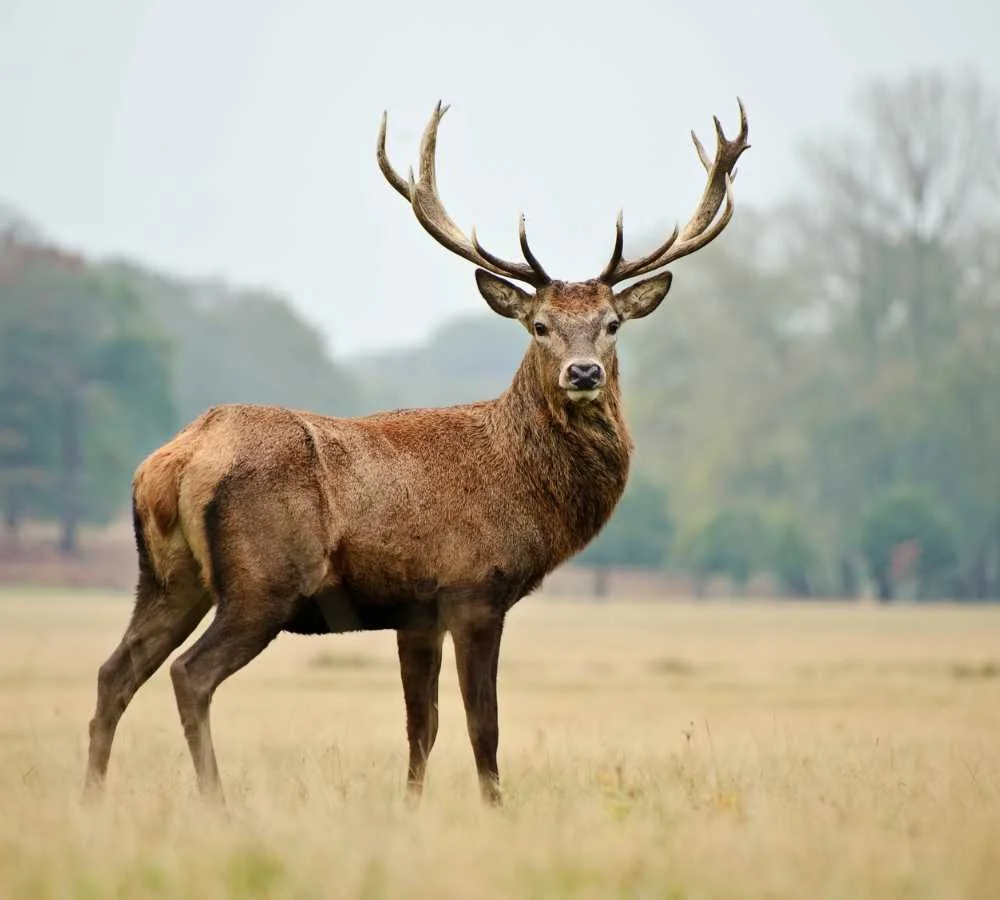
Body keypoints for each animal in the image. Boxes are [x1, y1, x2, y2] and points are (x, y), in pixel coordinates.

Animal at [84, 100, 749, 806]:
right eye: (539, 325)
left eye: (612, 324)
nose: (584, 372)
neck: (525, 487)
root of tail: (174, 461)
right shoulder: (474, 588)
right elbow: (483, 725)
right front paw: (494, 808)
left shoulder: (416, 611)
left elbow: (420, 727)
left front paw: (410, 808)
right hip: (263, 580)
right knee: (190, 674)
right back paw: (216, 803)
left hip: (166, 578)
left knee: (114, 672)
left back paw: (91, 798)